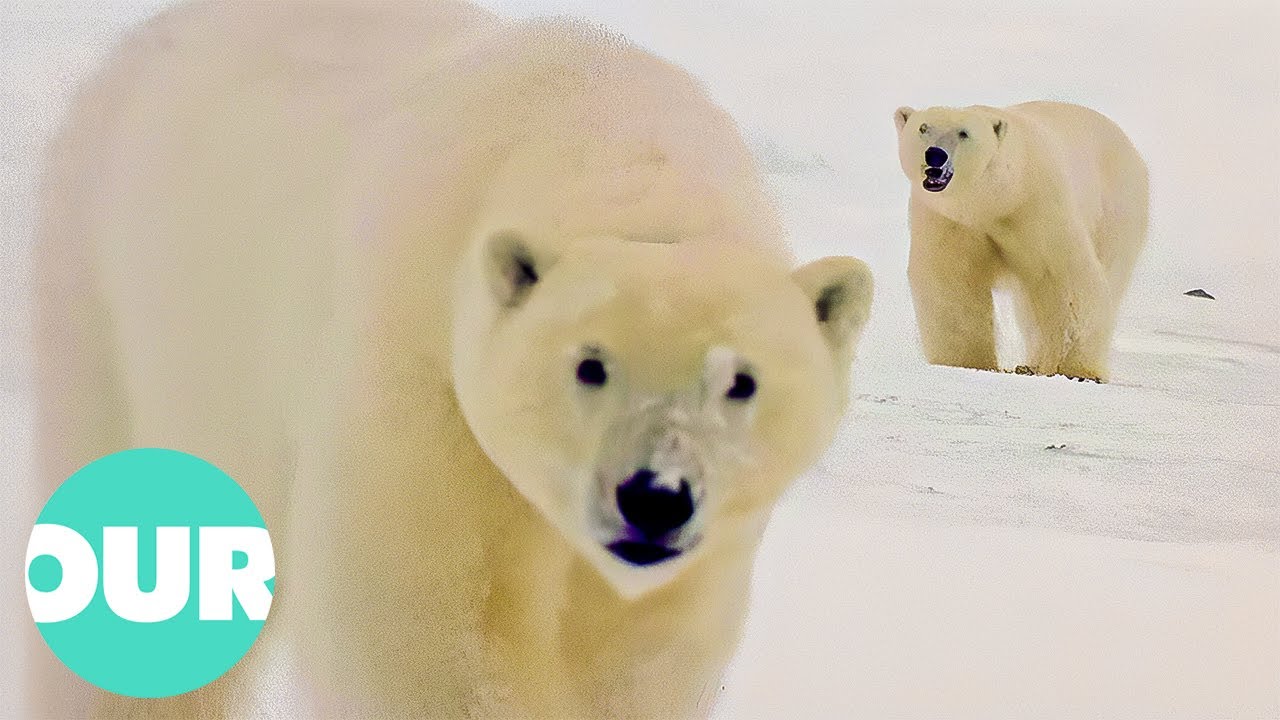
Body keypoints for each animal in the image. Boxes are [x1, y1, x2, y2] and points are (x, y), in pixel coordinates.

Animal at [28, 1, 875, 718]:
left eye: (741, 381)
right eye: (589, 365)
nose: (654, 498)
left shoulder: (708, 547)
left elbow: (636, 649)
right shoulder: (422, 373)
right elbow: (414, 622)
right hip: (120, 306)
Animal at [893, 102, 1148, 382]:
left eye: (964, 133)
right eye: (923, 128)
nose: (935, 155)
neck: (998, 199)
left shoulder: (1037, 206)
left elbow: (1064, 280)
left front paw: (1076, 372)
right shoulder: (949, 219)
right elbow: (952, 285)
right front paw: (966, 363)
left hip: (1117, 208)